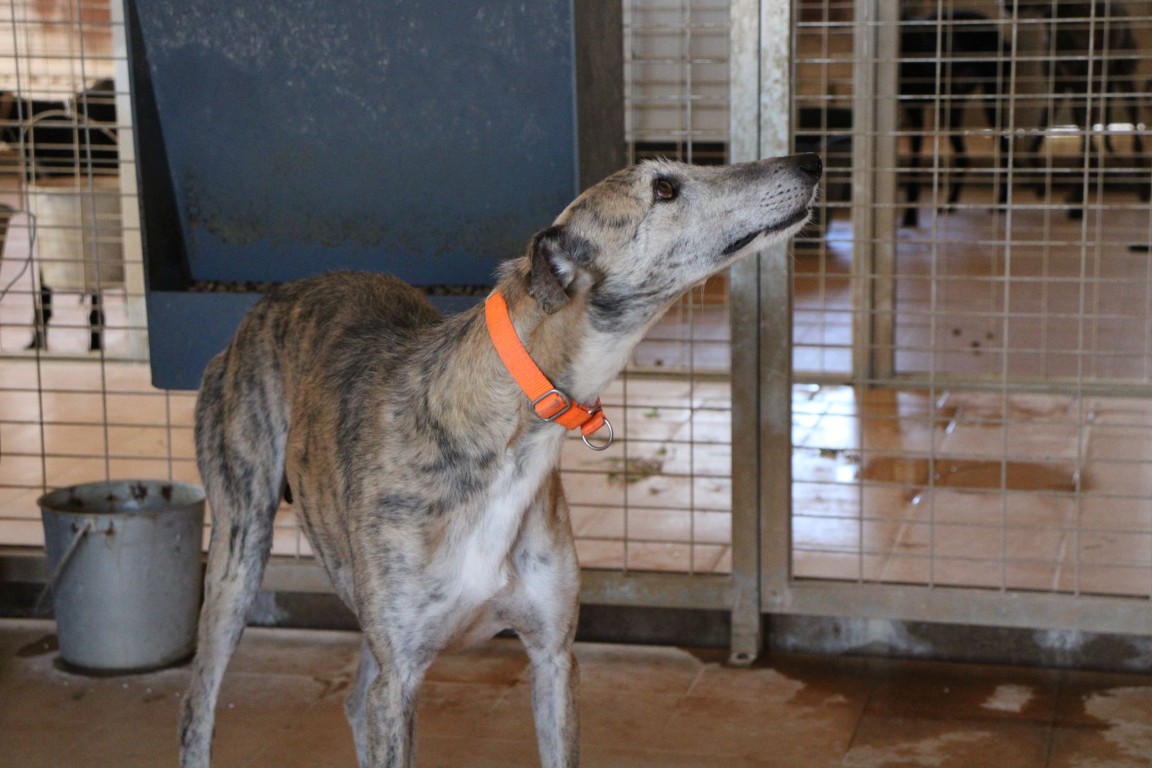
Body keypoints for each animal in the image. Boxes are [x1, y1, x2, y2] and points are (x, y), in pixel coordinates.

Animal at [179, 153, 822, 768]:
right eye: (664, 188)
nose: (810, 161)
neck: (509, 435)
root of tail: (262, 308)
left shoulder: (554, 658)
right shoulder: (401, 678)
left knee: (355, 702)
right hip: (239, 555)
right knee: (197, 709)